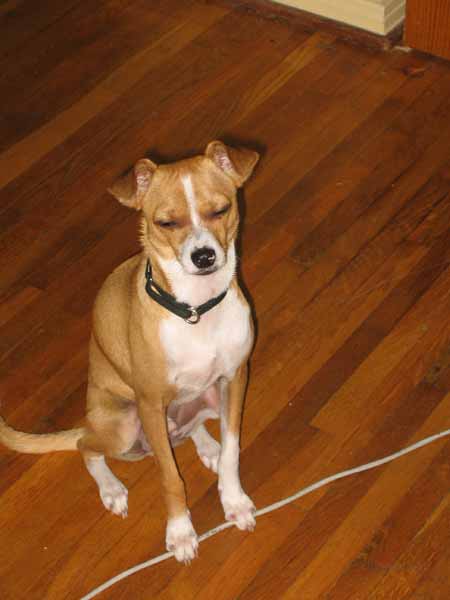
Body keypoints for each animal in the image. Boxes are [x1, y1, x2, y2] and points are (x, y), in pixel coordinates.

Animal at [0, 141, 259, 563]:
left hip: (206, 400)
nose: (203, 257)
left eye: (220, 210)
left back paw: (207, 446)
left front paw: (233, 500)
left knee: (190, 430)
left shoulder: (234, 379)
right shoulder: (151, 403)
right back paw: (111, 489)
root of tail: (91, 421)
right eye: (165, 222)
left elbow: (233, 452)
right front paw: (180, 532)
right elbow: (170, 477)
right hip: (123, 426)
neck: (195, 311)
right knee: (86, 446)